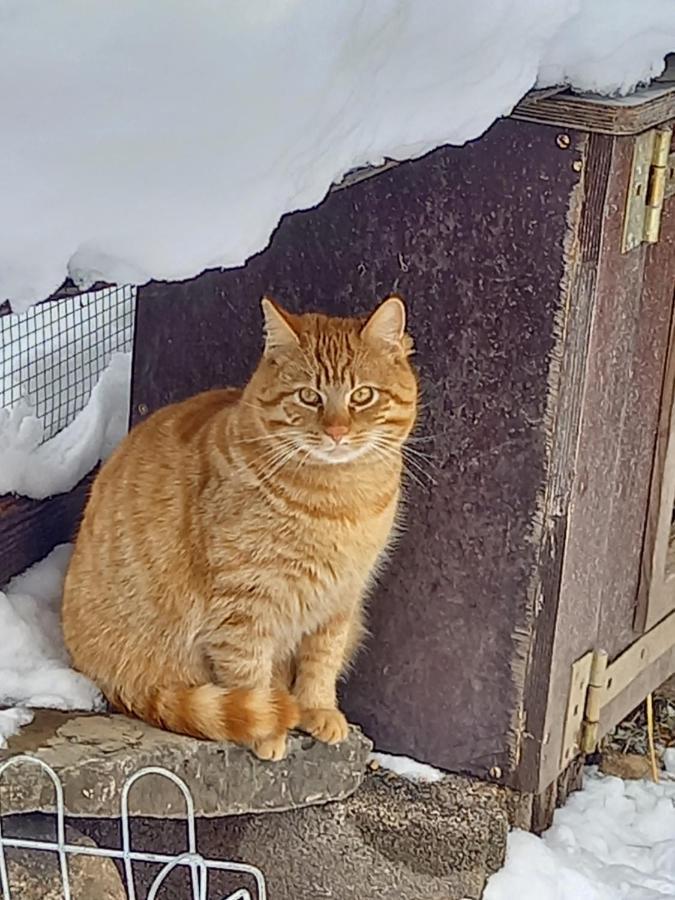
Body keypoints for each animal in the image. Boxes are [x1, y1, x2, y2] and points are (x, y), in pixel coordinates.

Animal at [62, 296, 418, 760]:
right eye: (308, 396)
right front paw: (270, 727)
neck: (338, 501)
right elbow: (250, 672)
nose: (338, 432)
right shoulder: (246, 604)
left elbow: (321, 660)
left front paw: (317, 708)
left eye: (362, 396)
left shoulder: (340, 600)